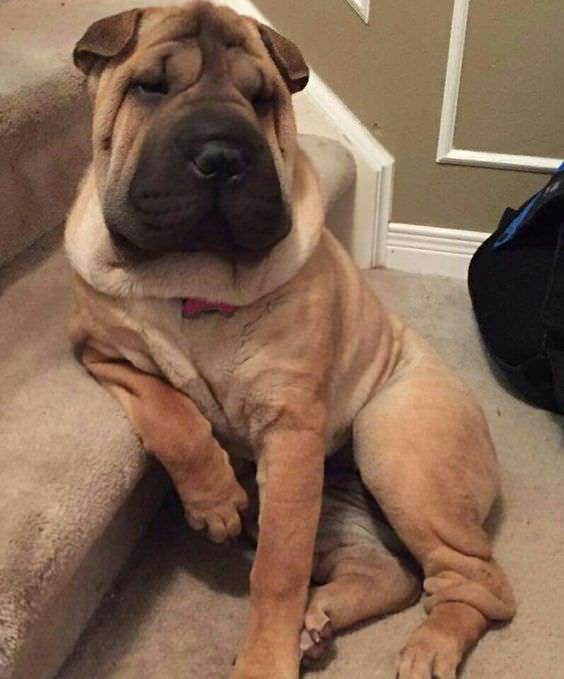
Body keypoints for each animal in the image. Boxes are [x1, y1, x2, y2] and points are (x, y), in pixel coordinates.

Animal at [65, 2, 516, 676]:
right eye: (150, 87)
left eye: (261, 99)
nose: (221, 153)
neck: (191, 274)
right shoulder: (105, 353)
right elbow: (170, 413)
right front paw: (214, 499)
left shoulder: (291, 428)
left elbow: (277, 571)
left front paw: (264, 661)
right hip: (344, 505)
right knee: (391, 573)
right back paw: (319, 619)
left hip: (397, 443)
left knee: (476, 581)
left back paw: (430, 646)